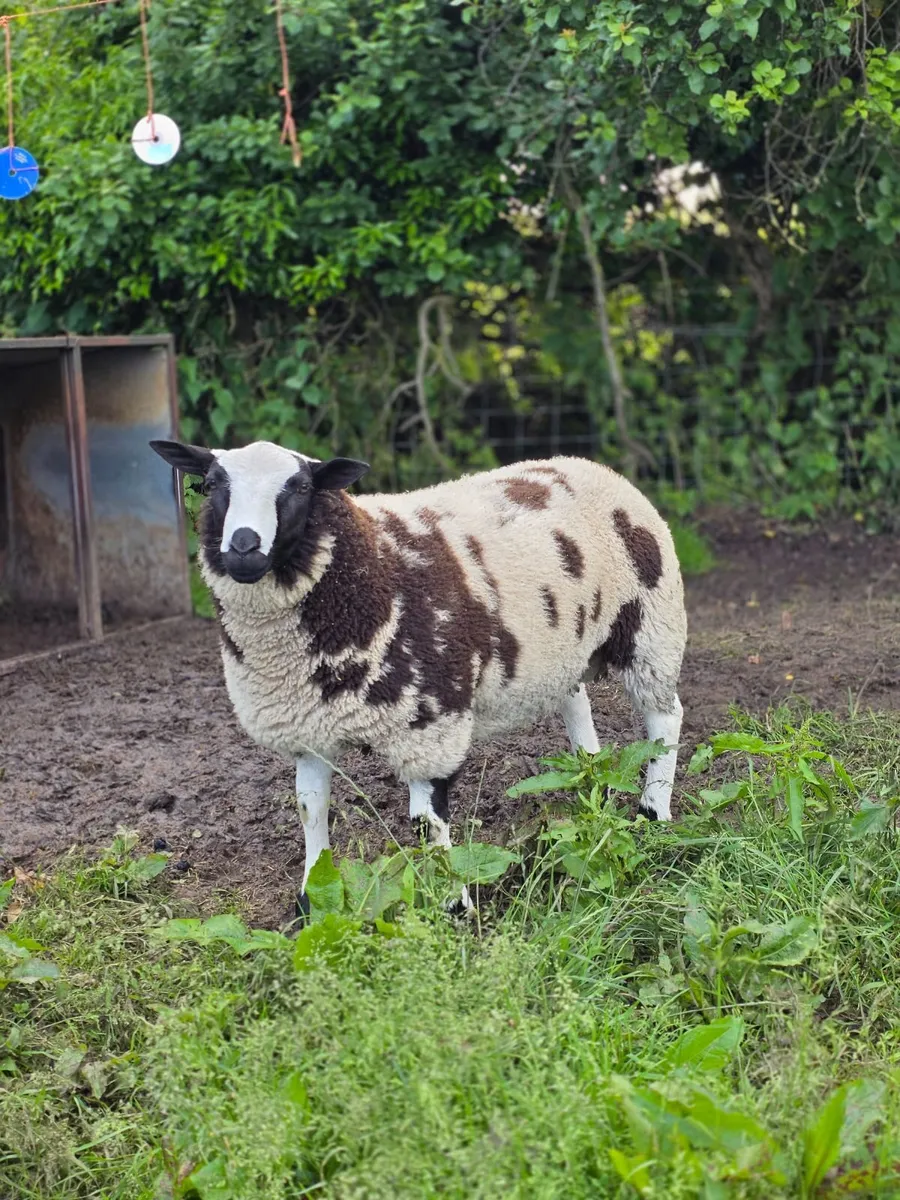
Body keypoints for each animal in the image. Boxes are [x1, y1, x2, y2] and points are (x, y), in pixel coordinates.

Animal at [150, 438, 687, 910]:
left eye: (300, 487)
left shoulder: (431, 722)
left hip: (652, 629)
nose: (243, 547)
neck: (371, 570)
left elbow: (427, 824)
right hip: (561, 645)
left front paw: (452, 905)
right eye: (212, 483)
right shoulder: (307, 725)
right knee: (576, 702)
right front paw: (310, 898)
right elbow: (310, 808)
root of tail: (587, 464)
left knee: (665, 720)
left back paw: (652, 814)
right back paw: (588, 789)